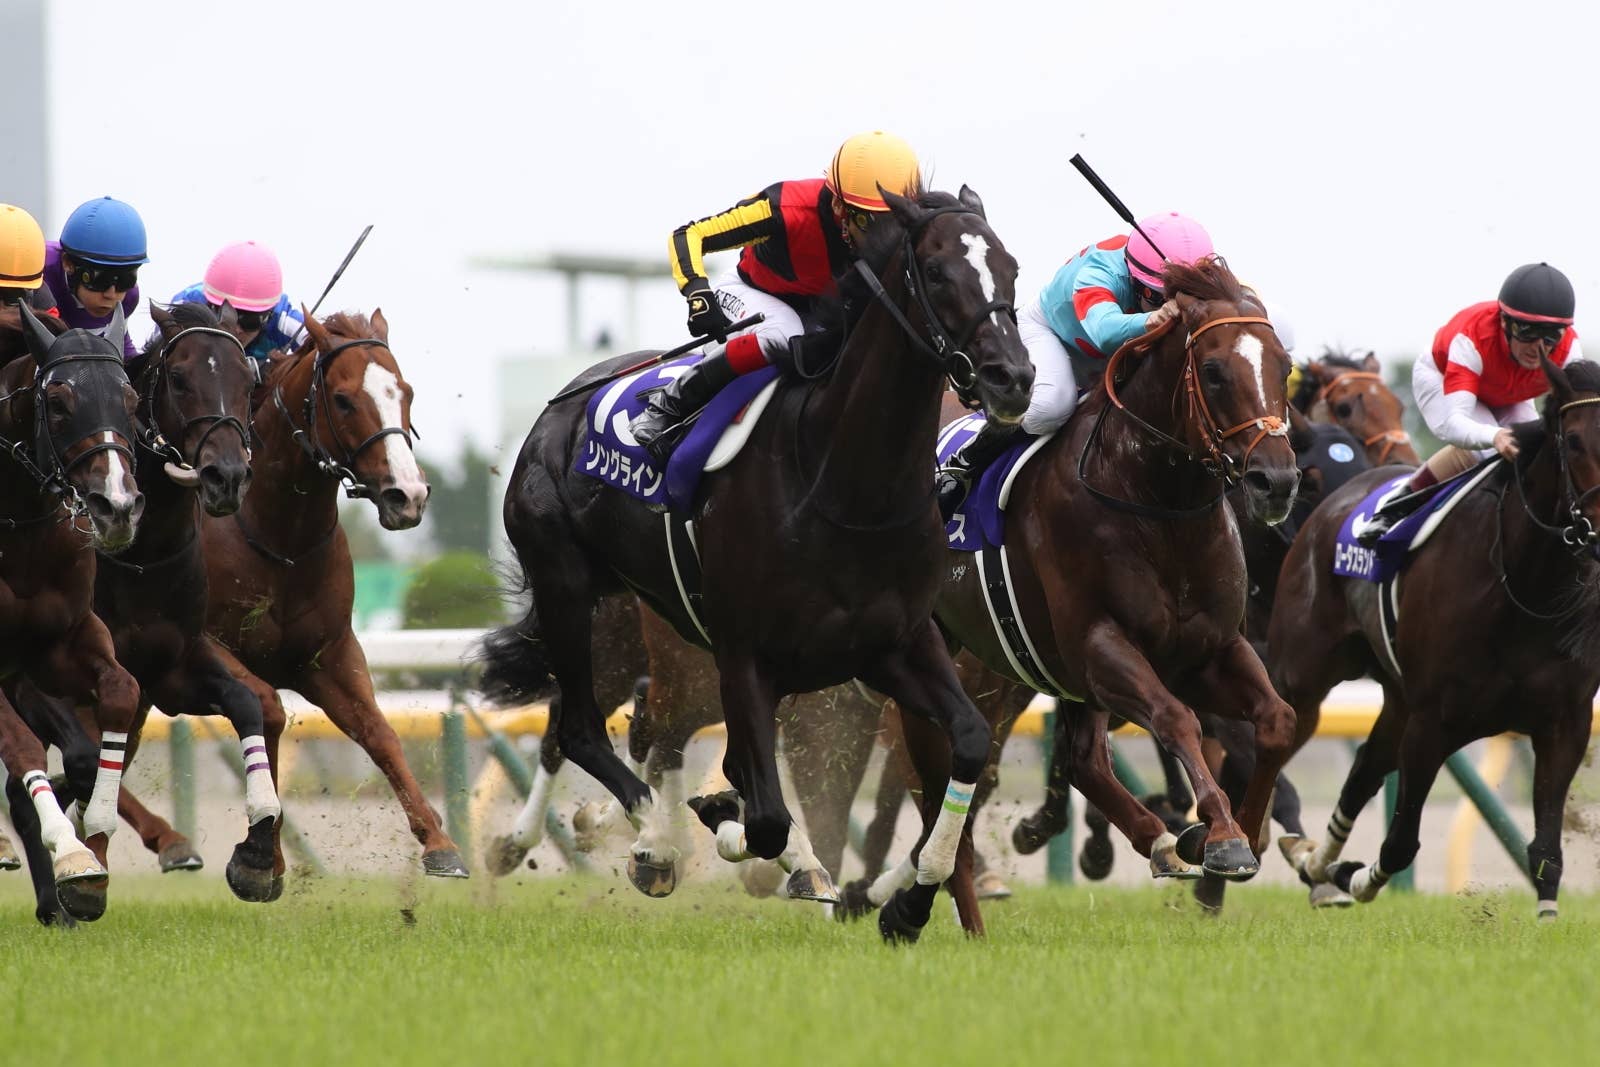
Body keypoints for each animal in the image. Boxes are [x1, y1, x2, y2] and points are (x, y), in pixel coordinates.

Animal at [4, 301, 282, 923]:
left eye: (248, 380)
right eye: (178, 378)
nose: (227, 476)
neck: (141, 559)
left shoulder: (168, 669)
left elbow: (246, 704)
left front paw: (256, 856)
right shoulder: (39, 677)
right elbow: (69, 761)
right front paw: (84, 861)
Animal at [481, 186, 1033, 942]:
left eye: (1010, 267)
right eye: (938, 272)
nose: (1015, 378)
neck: (841, 481)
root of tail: (560, 404)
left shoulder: (893, 645)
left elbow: (969, 745)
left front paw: (909, 902)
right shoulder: (745, 654)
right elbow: (764, 815)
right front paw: (718, 829)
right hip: (569, 588)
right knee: (584, 726)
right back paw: (649, 839)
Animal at [909, 257, 1300, 934]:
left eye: (1284, 365)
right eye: (1214, 371)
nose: (1275, 481)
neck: (1158, 503)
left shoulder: (1210, 650)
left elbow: (1277, 720)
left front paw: (1235, 834)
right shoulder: (1099, 646)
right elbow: (1176, 717)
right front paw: (1221, 836)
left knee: (1083, 759)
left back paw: (1160, 839)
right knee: (946, 792)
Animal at [1270, 356, 1600, 919]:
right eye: (1575, 441)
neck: (1522, 583)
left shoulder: (1566, 724)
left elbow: (1545, 850)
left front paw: (1546, 919)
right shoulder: (1433, 723)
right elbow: (1401, 842)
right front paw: (1358, 877)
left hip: (1397, 695)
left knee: (1364, 769)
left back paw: (1319, 864)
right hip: (1303, 678)